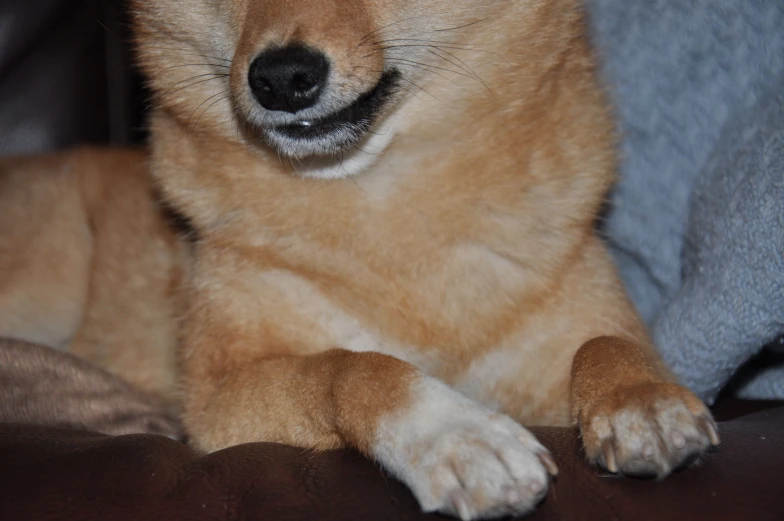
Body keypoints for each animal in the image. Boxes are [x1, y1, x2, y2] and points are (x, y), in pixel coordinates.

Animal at [0, 0, 720, 516]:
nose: (282, 78)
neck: (377, 199)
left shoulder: (569, 339)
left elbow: (605, 342)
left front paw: (641, 399)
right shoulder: (219, 401)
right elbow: (350, 365)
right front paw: (455, 433)